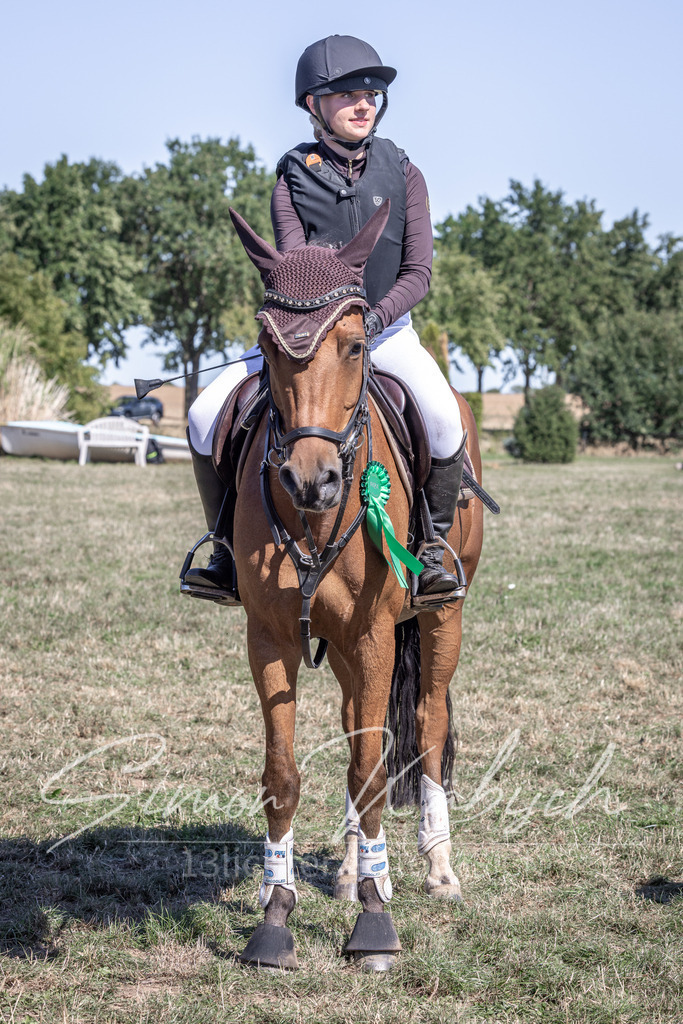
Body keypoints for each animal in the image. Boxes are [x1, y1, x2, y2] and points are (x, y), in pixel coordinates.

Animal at [227, 201, 484, 972]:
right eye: (268, 345)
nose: (312, 481)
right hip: (340, 645)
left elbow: (372, 771)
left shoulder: (375, 632)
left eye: (352, 344)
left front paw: (374, 923)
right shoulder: (272, 636)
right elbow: (284, 775)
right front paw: (275, 913)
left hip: (441, 616)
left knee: (425, 723)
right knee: (352, 726)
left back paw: (435, 868)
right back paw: (349, 867)